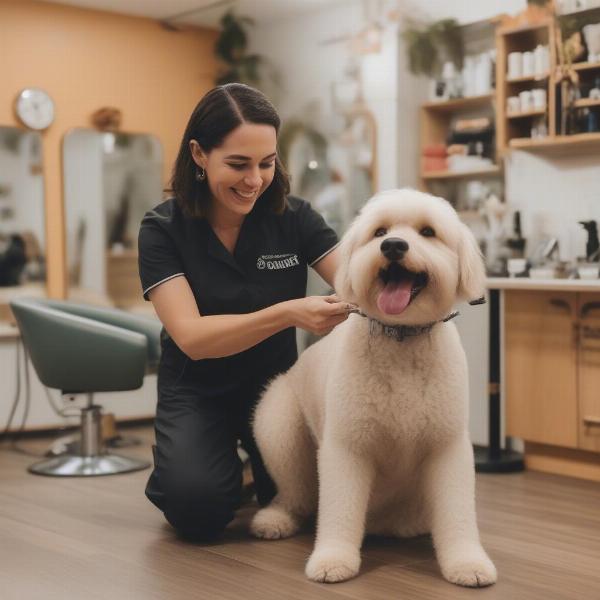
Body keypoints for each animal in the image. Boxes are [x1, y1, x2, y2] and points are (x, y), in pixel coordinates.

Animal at [248, 188, 496, 584]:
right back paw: (276, 519)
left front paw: (467, 563)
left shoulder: (447, 445)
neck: (402, 338)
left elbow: (457, 513)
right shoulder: (347, 445)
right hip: (277, 424)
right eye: (379, 232)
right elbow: (340, 509)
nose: (393, 246)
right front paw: (333, 559)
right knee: (297, 492)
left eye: (428, 232)